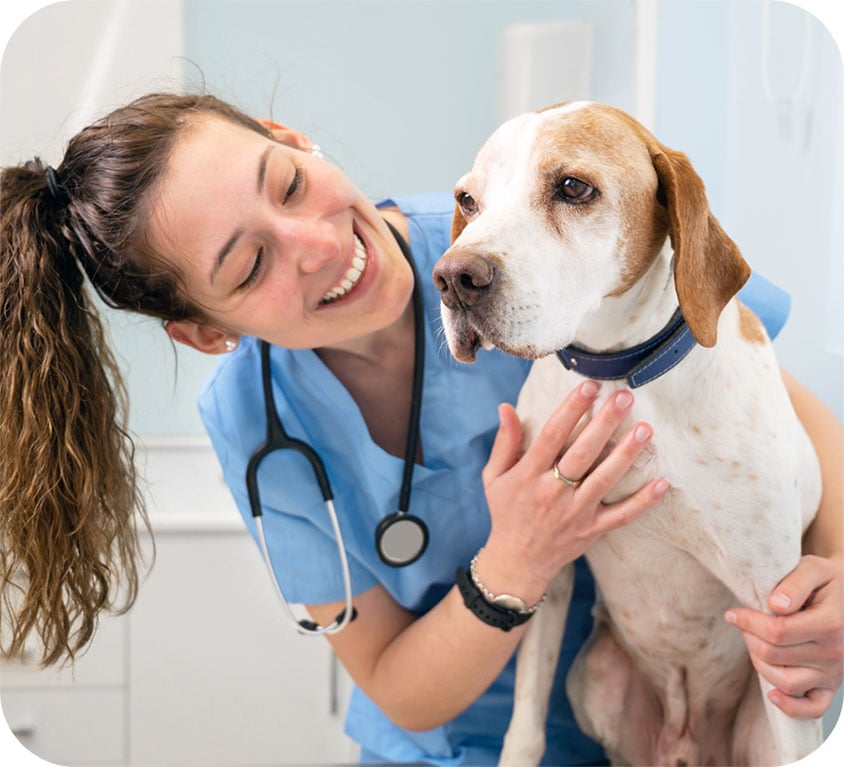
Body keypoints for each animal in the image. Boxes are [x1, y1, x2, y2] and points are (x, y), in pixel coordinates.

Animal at [432, 103, 820, 767]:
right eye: (468, 200)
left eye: (572, 187)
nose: (454, 277)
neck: (621, 376)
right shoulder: (547, 568)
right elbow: (525, 727)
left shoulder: (775, 612)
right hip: (593, 677)